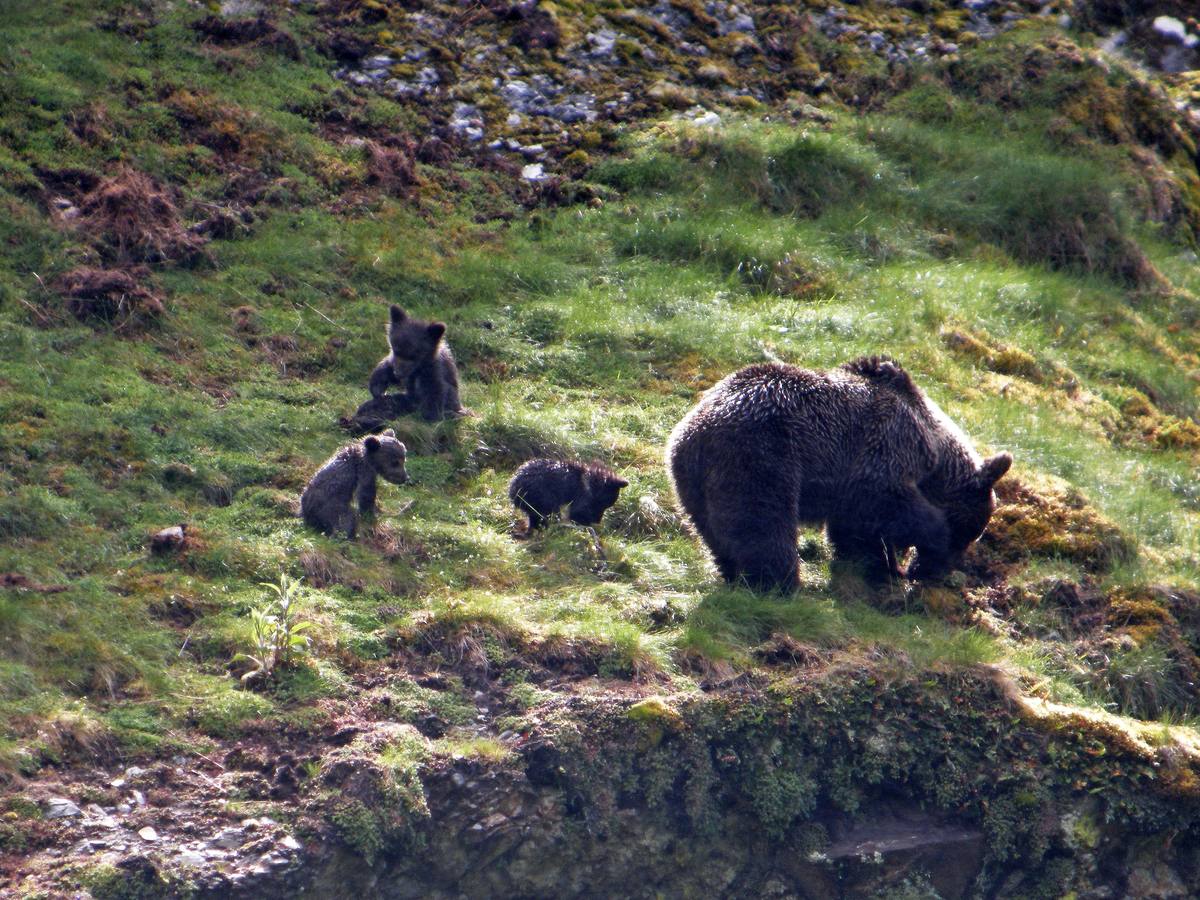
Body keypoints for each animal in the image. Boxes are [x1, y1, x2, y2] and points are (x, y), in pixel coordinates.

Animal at [672, 360, 1008, 592]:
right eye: (968, 533)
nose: (932, 572)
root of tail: (697, 430)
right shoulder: (886, 444)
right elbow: (882, 498)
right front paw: (921, 544)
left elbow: (856, 527)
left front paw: (874, 564)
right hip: (761, 456)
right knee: (763, 523)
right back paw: (780, 583)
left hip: (690, 481)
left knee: (713, 531)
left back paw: (731, 571)